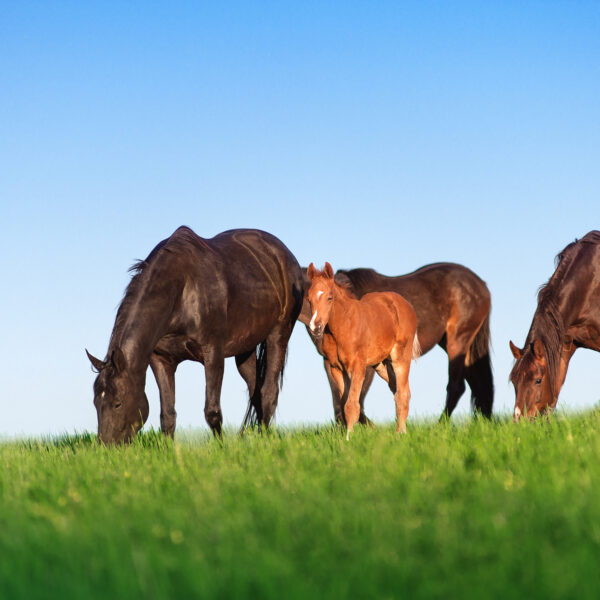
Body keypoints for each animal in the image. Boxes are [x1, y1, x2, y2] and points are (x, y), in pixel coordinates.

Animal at [84, 227, 304, 442]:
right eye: (95, 403)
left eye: (118, 403)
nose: (107, 446)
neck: (182, 291)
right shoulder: (161, 360)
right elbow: (167, 415)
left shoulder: (213, 354)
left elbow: (212, 412)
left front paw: (222, 448)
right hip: (245, 349)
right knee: (255, 390)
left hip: (279, 334)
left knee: (268, 391)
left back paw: (264, 439)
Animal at [308, 260, 420, 438]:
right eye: (308, 299)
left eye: (330, 297)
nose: (315, 327)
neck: (343, 326)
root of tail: (405, 304)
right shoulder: (336, 369)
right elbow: (345, 402)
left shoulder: (357, 367)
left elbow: (352, 404)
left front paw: (349, 438)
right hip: (380, 365)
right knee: (398, 391)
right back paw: (402, 430)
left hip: (400, 358)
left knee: (402, 393)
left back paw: (400, 434)